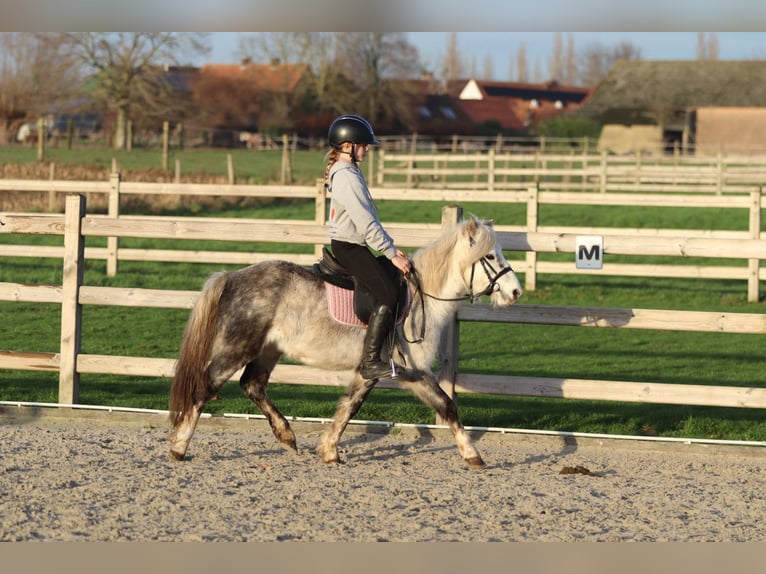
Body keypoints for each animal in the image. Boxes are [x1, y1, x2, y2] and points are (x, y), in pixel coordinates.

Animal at [168, 215, 523, 468]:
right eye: (491, 256)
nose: (516, 291)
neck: (419, 300)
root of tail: (231, 277)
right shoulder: (397, 369)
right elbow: (438, 405)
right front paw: (473, 454)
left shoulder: (397, 372)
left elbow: (358, 406)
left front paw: (328, 451)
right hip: (237, 347)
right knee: (204, 387)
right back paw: (179, 447)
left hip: (269, 349)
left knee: (252, 384)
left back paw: (287, 436)